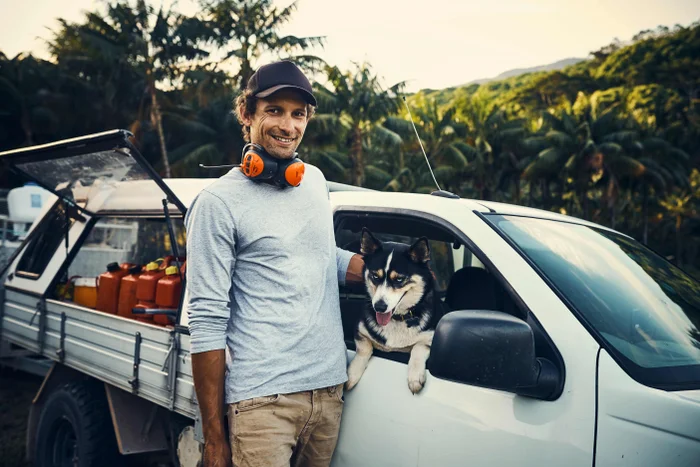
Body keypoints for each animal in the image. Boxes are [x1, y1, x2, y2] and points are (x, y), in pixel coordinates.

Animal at [346, 228, 448, 394]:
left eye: (399, 279)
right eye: (375, 276)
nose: (379, 307)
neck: (398, 318)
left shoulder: (431, 338)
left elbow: (418, 347)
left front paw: (415, 377)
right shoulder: (360, 330)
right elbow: (363, 348)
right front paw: (352, 373)